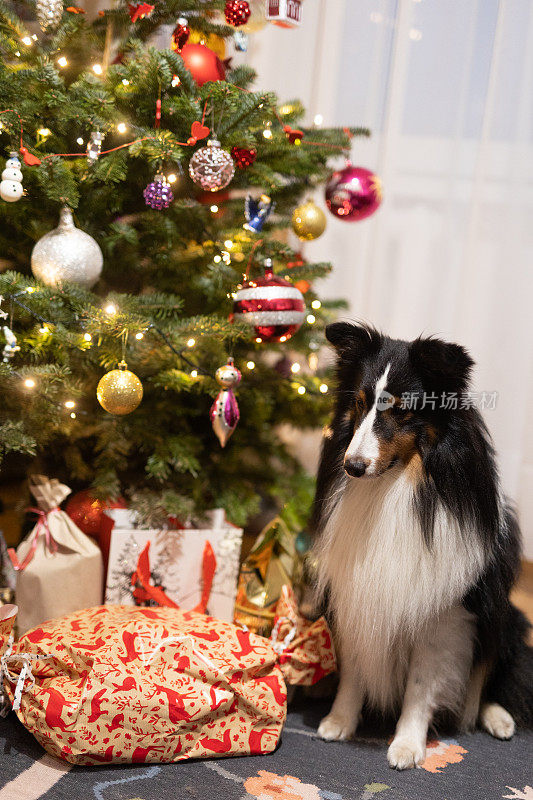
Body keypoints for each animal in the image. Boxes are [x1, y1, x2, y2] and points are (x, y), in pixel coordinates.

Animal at [312, 324, 532, 768]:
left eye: (401, 411)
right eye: (359, 403)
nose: (352, 467)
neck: (394, 486)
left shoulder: (443, 618)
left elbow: (420, 686)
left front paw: (407, 746)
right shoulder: (357, 595)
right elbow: (354, 671)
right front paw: (339, 722)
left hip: (505, 617)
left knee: (497, 676)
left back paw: (498, 719)